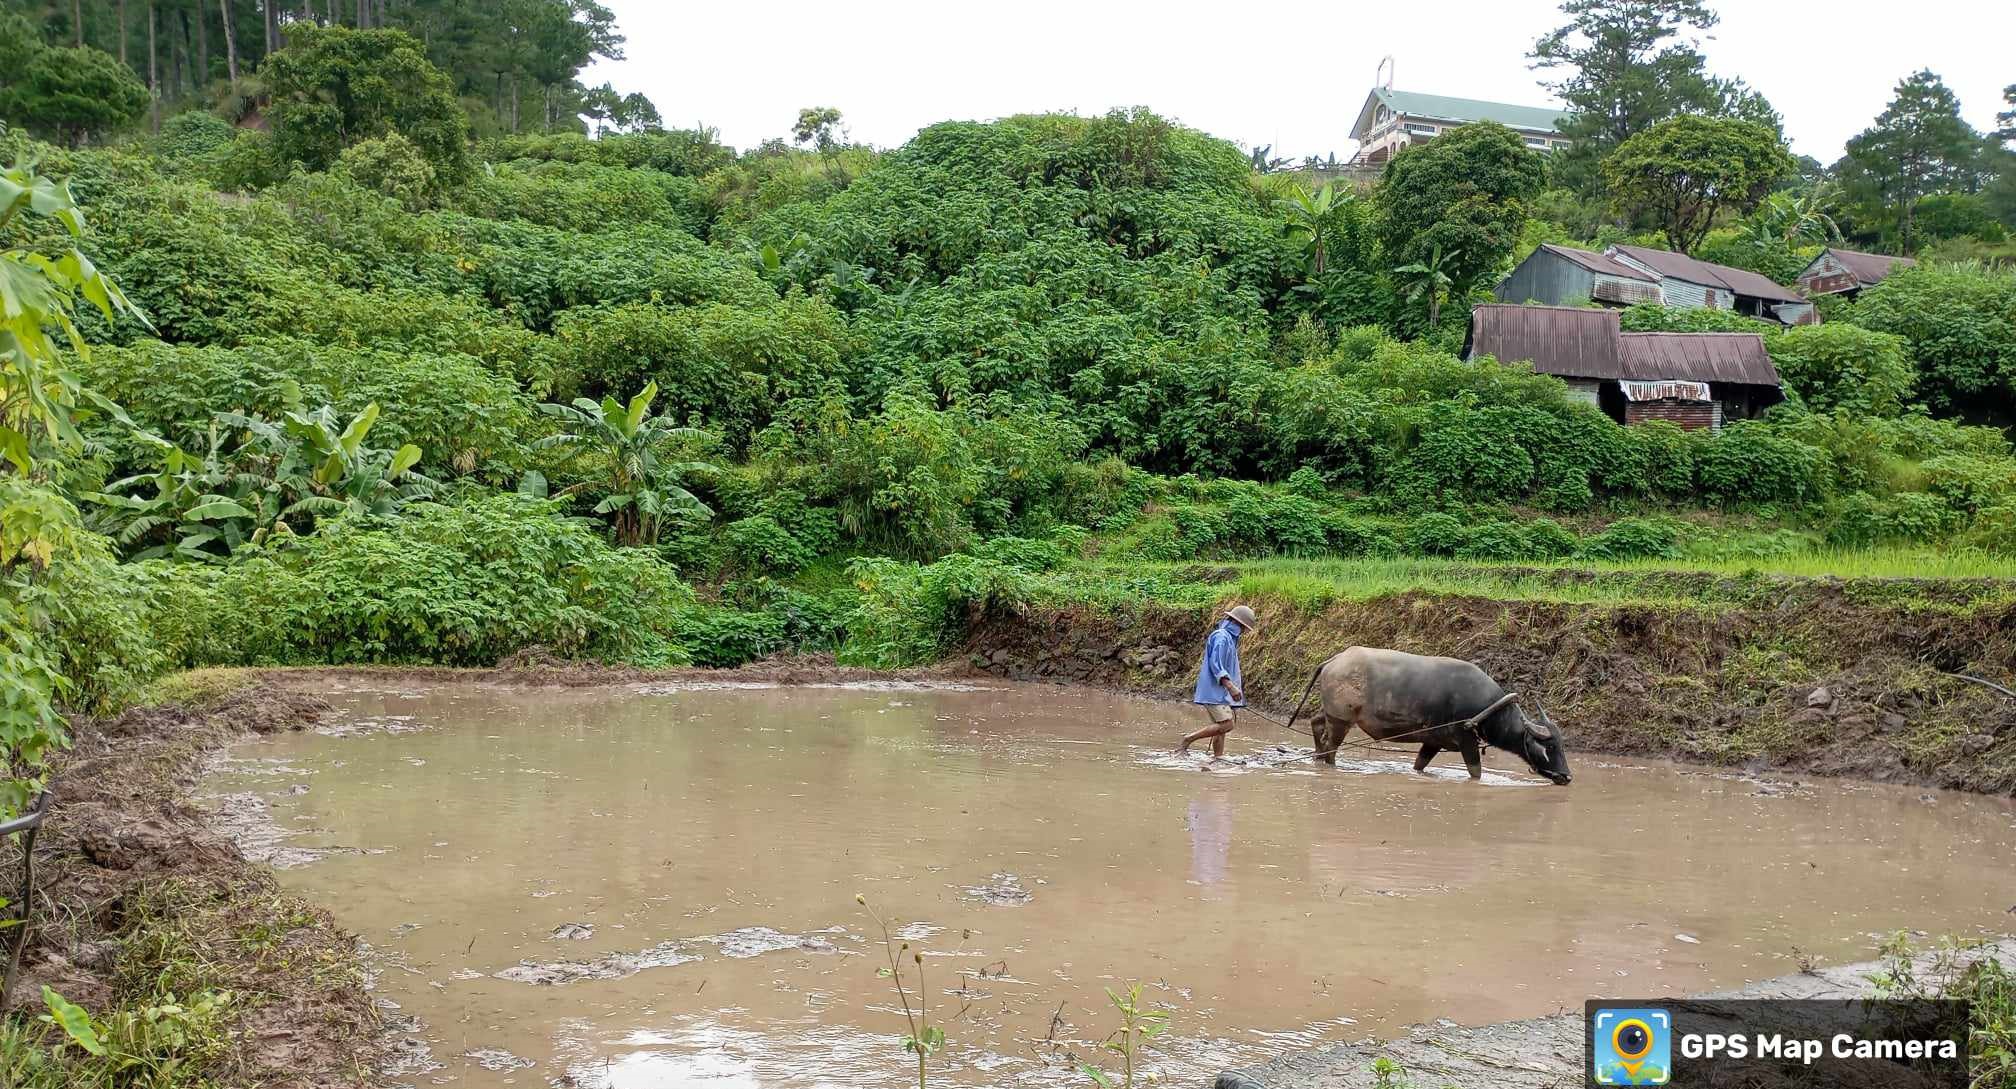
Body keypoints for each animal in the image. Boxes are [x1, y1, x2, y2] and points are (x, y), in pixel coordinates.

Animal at [1298, 645, 1564, 782]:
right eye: (1550, 747)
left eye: (1561, 745)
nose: (1567, 777)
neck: (1485, 709)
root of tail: (1335, 659)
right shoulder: (1466, 740)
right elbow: (1475, 772)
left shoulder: (1433, 741)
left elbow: (1420, 764)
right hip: (1341, 720)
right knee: (1330, 747)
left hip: (1330, 713)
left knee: (1316, 724)